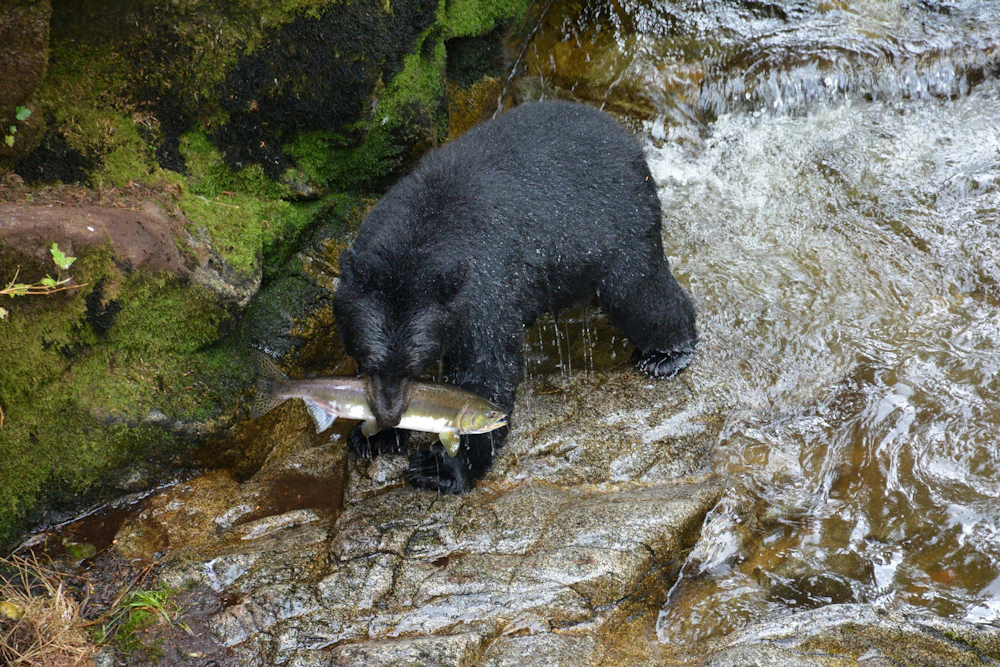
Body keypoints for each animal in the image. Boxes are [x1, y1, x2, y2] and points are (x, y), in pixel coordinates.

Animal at [332, 100, 697, 493]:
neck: (417, 242)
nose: (389, 414)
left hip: (619, 224)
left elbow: (487, 370)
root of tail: (623, 134)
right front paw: (374, 437)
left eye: (414, 366)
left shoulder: (483, 290)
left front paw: (443, 467)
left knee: (640, 292)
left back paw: (666, 355)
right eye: (369, 359)